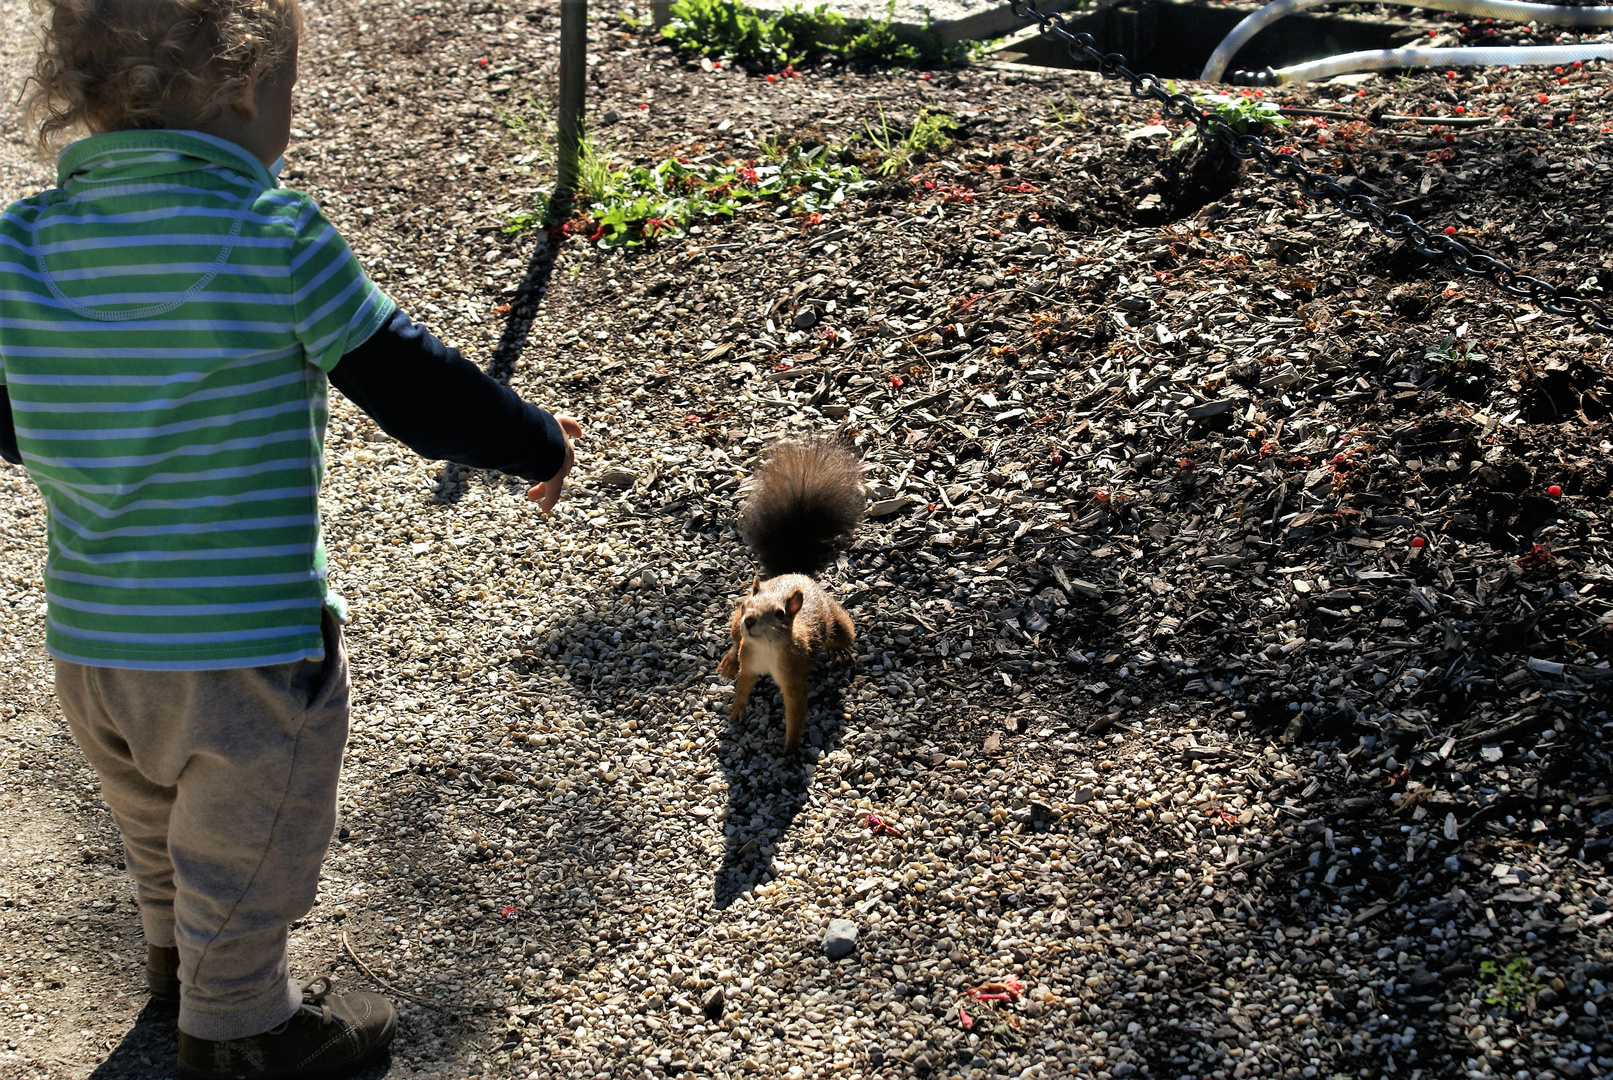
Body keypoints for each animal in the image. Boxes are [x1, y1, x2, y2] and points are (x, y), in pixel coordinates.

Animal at [722, 435, 871, 757]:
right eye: (747, 606)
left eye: (780, 614)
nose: (749, 621)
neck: (766, 649)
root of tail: (797, 574)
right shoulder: (749, 662)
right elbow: (742, 686)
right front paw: (737, 710)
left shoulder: (792, 676)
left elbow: (796, 710)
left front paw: (790, 751)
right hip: (733, 623)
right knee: (734, 641)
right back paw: (728, 660)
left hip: (838, 622)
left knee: (840, 635)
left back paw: (839, 650)